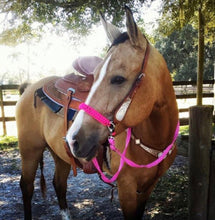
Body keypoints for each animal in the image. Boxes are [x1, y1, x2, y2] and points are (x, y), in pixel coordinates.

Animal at [15, 6, 179, 220]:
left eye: (118, 78)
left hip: (60, 155)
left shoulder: (148, 187)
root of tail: (28, 88)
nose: (73, 139)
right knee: (26, 187)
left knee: (59, 184)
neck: (154, 141)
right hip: (30, 152)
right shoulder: (126, 188)